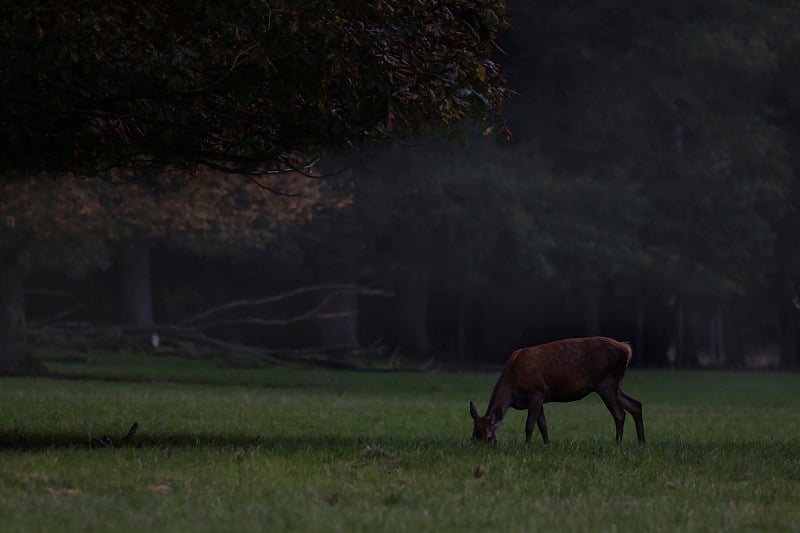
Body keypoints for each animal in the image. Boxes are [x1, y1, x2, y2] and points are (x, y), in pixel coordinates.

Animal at [468, 336, 644, 444]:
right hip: (616, 385)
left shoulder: (536, 391)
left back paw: (618, 444)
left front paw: (527, 446)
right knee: (636, 405)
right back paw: (642, 442)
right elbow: (543, 425)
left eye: (489, 437)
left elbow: (529, 425)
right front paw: (547, 444)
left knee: (620, 414)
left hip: (606, 383)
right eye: (473, 436)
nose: (481, 450)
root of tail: (627, 349)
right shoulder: (539, 397)